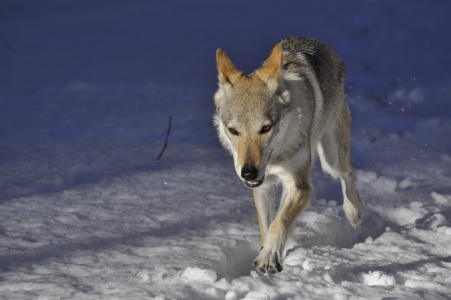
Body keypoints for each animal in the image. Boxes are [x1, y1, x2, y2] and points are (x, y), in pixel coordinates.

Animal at [214, 37, 366, 274]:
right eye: (233, 130)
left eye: (266, 128)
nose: (248, 173)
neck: (276, 155)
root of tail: (320, 44)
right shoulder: (264, 186)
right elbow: (268, 226)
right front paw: (268, 255)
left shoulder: (301, 187)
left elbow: (278, 224)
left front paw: (268, 258)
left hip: (331, 159)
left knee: (348, 172)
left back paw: (354, 213)